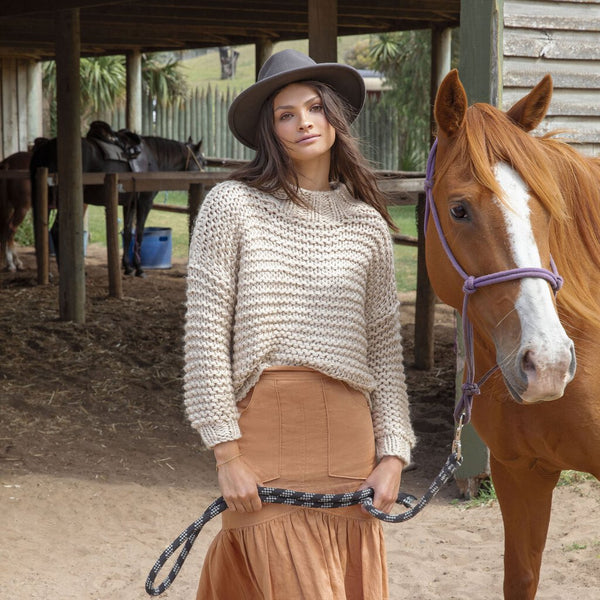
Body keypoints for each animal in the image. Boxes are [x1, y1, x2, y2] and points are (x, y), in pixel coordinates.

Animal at [31, 127, 207, 278]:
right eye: (202, 161)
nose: (206, 188)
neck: (153, 159)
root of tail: (46, 147)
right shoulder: (145, 202)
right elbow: (140, 233)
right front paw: (139, 269)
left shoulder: (129, 203)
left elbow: (128, 232)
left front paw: (128, 267)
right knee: (56, 230)